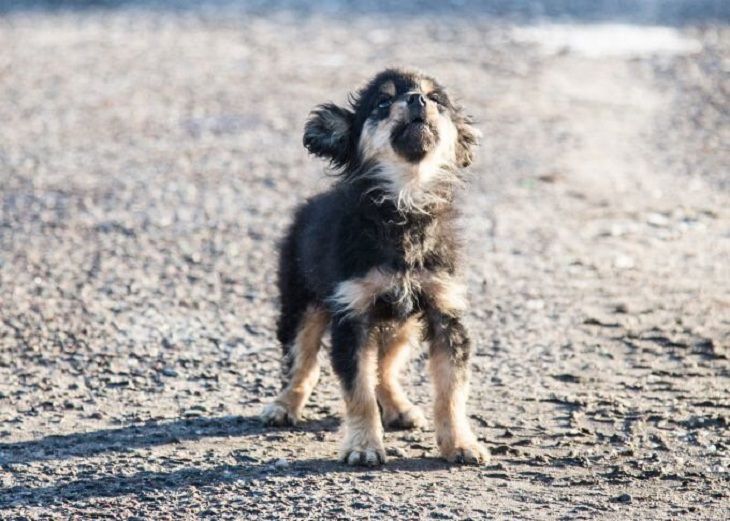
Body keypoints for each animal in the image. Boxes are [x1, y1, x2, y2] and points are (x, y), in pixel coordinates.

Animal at [258, 67, 486, 466]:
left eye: (437, 99)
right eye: (382, 102)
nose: (417, 99)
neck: (405, 201)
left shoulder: (445, 311)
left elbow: (451, 390)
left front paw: (461, 444)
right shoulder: (353, 315)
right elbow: (359, 391)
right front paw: (364, 447)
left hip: (401, 325)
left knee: (385, 368)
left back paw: (398, 407)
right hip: (302, 304)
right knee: (302, 364)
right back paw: (284, 406)